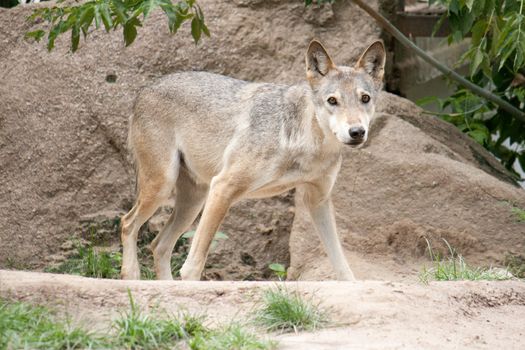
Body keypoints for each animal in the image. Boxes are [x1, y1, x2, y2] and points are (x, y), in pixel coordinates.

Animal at [119, 40, 384, 282]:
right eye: (332, 101)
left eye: (365, 98)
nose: (356, 132)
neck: (304, 141)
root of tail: (143, 90)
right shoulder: (223, 187)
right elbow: (192, 266)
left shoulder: (318, 200)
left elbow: (341, 263)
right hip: (163, 188)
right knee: (127, 223)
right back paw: (131, 276)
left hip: (193, 202)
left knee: (158, 245)